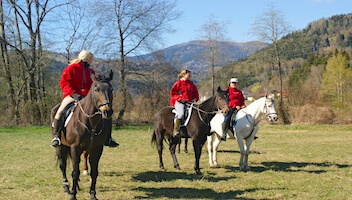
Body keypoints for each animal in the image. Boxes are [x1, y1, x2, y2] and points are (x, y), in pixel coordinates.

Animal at [51, 70, 113, 200]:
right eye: (96, 89)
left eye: (111, 89)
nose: (107, 111)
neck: (91, 122)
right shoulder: (75, 148)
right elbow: (75, 172)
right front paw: (73, 195)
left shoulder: (97, 149)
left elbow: (94, 172)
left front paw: (93, 194)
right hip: (61, 146)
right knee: (63, 165)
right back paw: (66, 187)